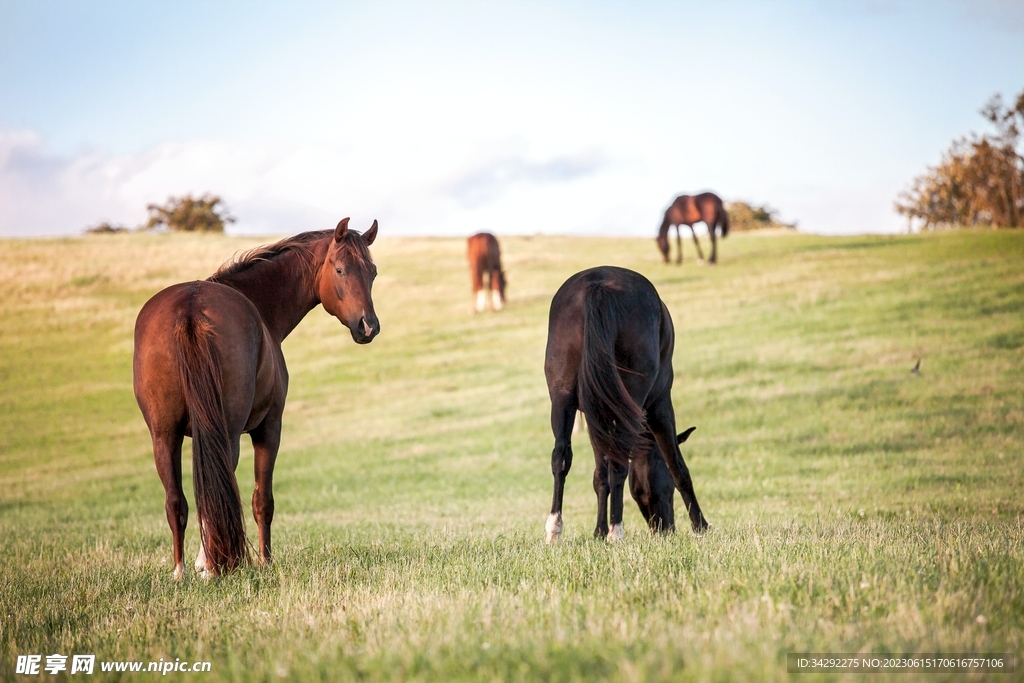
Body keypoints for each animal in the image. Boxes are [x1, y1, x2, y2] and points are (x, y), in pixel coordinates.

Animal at [133, 218, 380, 578]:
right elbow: (262, 501)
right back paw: (212, 566)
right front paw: (264, 560)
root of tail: (190, 308)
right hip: (228, 433)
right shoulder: (269, 428)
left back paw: (182, 571)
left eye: (372, 272)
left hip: (164, 436)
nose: (368, 326)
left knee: (176, 501)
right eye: (340, 270)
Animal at [543, 266, 708, 543]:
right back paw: (616, 531)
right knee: (620, 463)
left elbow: (600, 475)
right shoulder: (660, 406)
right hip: (636, 398)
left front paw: (598, 531)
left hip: (562, 398)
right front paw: (700, 525)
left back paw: (555, 529)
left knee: (561, 457)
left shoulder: (595, 417)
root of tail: (597, 285)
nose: (666, 528)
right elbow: (677, 465)